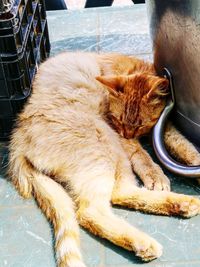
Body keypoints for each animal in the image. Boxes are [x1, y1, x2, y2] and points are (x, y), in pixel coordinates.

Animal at [8, 52, 200, 267]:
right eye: (119, 121)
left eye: (141, 124)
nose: (127, 134)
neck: (131, 68)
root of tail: (18, 138)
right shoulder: (117, 130)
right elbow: (141, 154)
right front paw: (154, 174)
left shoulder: (163, 126)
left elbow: (184, 146)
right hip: (106, 144)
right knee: (93, 209)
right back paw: (145, 239)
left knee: (117, 194)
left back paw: (181, 205)